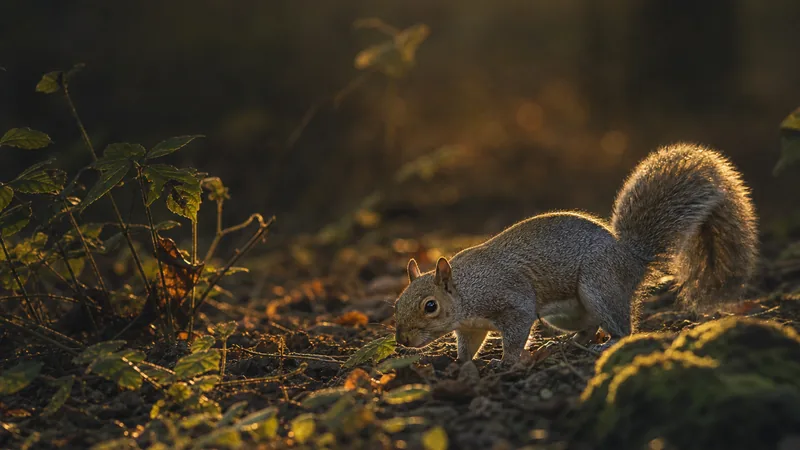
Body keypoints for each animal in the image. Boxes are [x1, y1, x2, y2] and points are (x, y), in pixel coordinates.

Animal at [393, 143, 758, 367]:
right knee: (589, 323)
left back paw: (605, 344)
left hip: (599, 284)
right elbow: (468, 346)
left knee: (621, 327)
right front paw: (459, 365)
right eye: (396, 304)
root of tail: (631, 261)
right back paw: (569, 343)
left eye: (430, 306)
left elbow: (516, 332)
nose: (403, 341)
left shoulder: (512, 300)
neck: (466, 290)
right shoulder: (470, 327)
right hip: (567, 313)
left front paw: (506, 361)